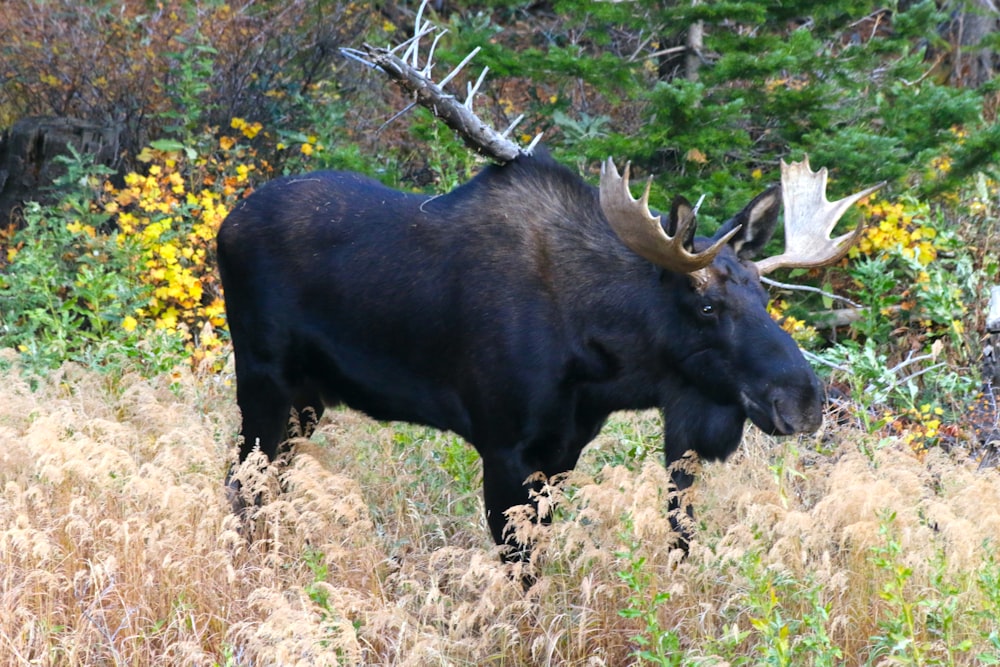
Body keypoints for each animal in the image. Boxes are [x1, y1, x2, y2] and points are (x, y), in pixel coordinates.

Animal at [217, 149, 876, 556]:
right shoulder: (505, 448)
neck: (602, 363)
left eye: (764, 294)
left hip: (307, 399)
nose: (805, 399)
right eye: (707, 307)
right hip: (264, 379)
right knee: (242, 482)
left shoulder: (563, 451)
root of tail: (227, 223)